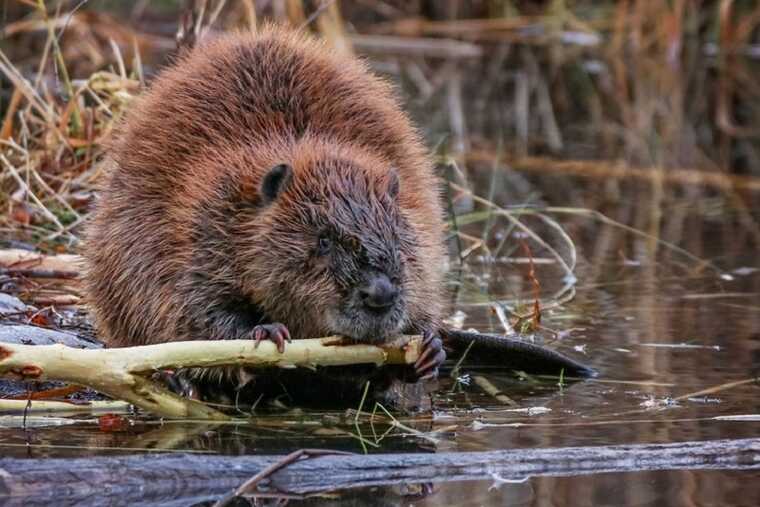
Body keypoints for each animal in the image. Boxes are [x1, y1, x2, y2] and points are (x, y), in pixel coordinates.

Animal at [84, 24, 448, 392]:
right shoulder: (198, 225)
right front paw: (267, 332)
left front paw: (429, 347)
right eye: (323, 240)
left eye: (398, 242)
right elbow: (191, 306)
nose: (380, 294)